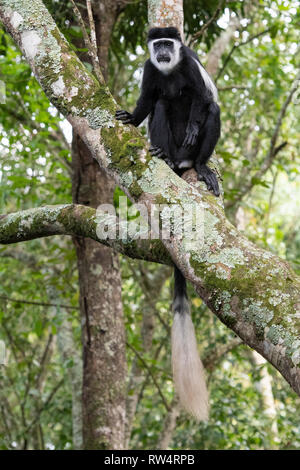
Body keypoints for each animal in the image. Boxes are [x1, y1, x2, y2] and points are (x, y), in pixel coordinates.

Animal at [115, 25, 220, 420]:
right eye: (156, 45)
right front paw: (131, 116)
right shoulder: (149, 68)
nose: (162, 51)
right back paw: (162, 156)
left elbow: (203, 99)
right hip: (169, 144)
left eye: (168, 44)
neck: (170, 68)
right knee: (161, 105)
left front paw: (193, 123)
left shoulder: (188, 62)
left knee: (209, 108)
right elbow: (149, 99)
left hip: (193, 149)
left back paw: (200, 166)